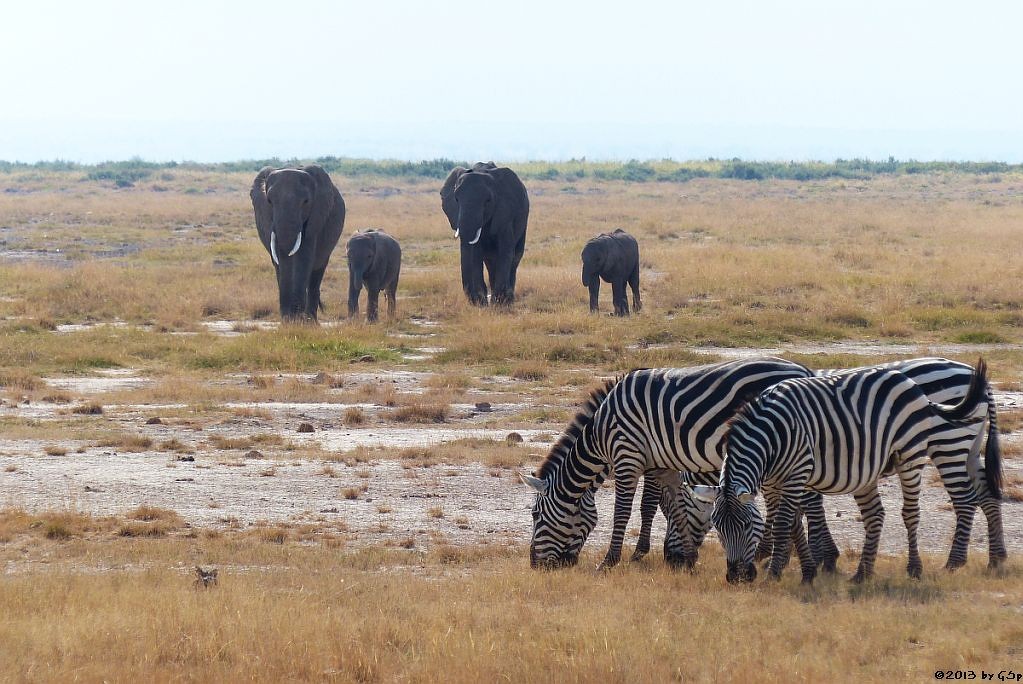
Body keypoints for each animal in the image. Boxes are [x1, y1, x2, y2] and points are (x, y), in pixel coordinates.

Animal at [249, 163, 345, 321]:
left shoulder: (315, 218)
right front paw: (288, 320)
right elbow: (279, 261)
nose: (291, 315)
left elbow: (304, 256)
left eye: (306, 202)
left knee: (316, 274)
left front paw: (297, 320)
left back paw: (311, 321)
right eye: (269, 201)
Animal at [437, 161, 527, 302]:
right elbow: (475, 253)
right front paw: (482, 302)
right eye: (456, 199)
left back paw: (507, 300)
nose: (473, 300)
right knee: (490, 260)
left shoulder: (505, 213)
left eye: (488, 201)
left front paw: (500, 302)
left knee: (515, 256)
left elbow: (505, 250)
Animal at [519, 357, 814, 572]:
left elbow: (627, 510)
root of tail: (804, 370)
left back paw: (774, 555)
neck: (600, 433)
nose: (535, 566)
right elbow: (675, 506)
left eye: (535, 515)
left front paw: (612, 561)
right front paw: (688, 559)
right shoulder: (663, 465)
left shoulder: (628, 457)